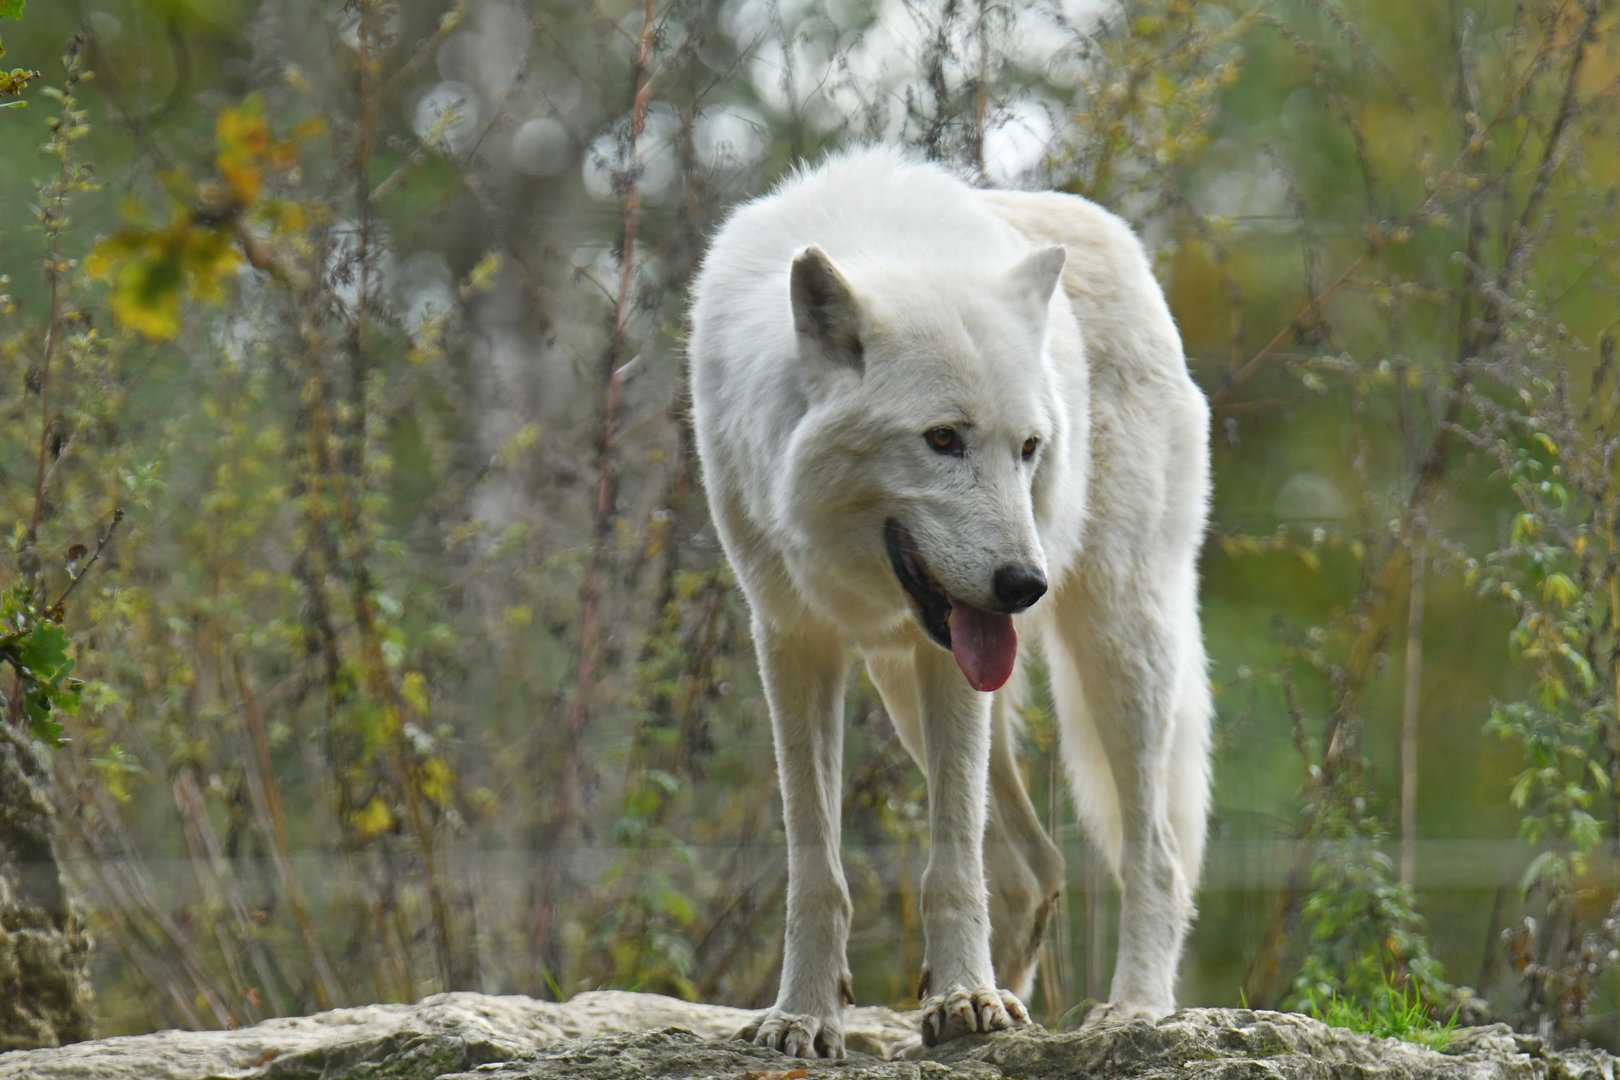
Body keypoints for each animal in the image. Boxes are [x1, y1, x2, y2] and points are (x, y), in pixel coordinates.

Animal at [687, 147, 1212, 1059]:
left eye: (1029, 447)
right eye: (942, 439)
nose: (1025, 585)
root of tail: (1113, 233)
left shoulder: (951, 662)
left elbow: (950, 857)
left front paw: (966, 997)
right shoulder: (791, 637)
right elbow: (814, 864)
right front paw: (805, 1017)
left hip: (1120, 645)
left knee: (1155, 855)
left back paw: (1132, 1009)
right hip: (904, 684)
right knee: (1035, 866)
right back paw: (974, 1010)